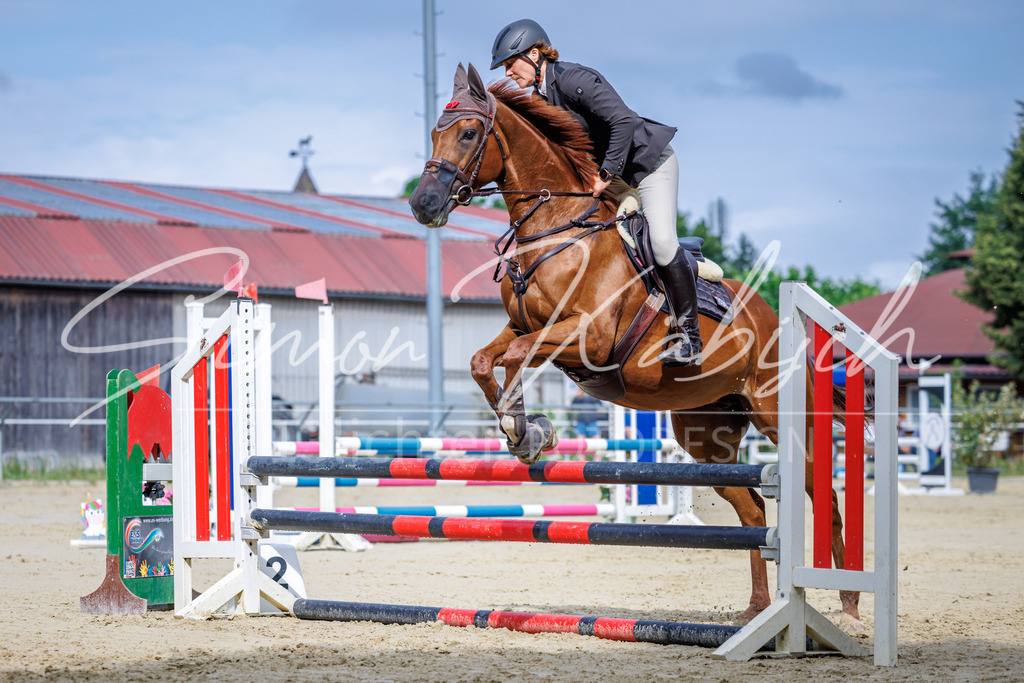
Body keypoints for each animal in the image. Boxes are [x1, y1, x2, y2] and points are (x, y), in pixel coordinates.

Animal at [409, 63, 859, 627]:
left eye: (469, 133)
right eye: (433, 133)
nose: (422, 205)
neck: (554, 230)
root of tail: (773, 319)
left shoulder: (588, 336)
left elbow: (513, 357)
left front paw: (527, 430)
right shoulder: (522, 326)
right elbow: (482, 359)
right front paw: (525, 432)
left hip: (779, 416)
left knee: (826, 497)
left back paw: (848, 605)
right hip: (706, 437)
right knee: (754, 509)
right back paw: (757, 607)